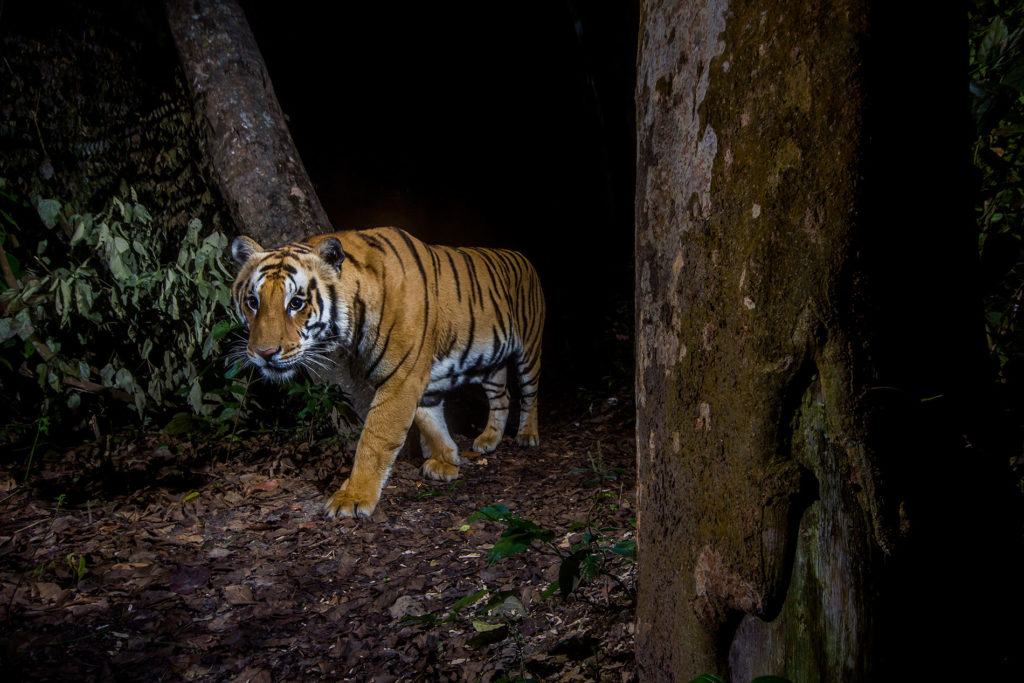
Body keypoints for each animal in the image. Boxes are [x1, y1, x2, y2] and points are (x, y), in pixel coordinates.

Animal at [230, 226, 545, 519]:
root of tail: (523, 257)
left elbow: (376, 439)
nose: (263, 353)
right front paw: (446, 460)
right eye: (253, 302)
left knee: (530, 394)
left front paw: (353, 498)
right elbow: (430, 420)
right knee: (502, 398)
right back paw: (489, 440)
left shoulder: (402, 377)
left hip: (529, 348)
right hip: (491, 363)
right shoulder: (418, 379)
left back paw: (527, 435)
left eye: (296, 302)